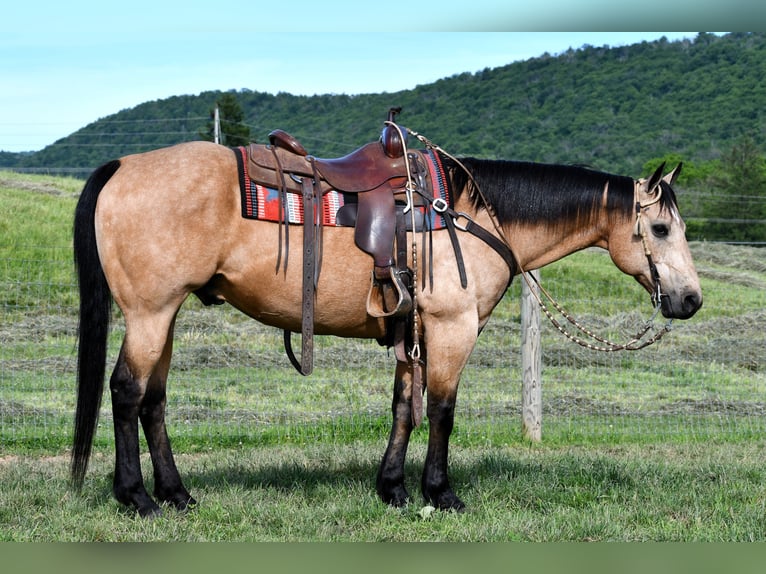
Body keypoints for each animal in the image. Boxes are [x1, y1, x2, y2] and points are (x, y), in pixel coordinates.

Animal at [70, 124, 704, 520]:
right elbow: (442, 411)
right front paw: (440, 493)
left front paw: (393, 488)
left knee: (153, 400)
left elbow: (404, 407)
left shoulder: (411, 332)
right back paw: (138, 498)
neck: (472, 214)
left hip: (165, 315)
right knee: (126, 392)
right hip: (151, 313)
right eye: (662, 228)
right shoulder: (451, 327)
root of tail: (124, 166)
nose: (691, 300)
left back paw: (177, 494)